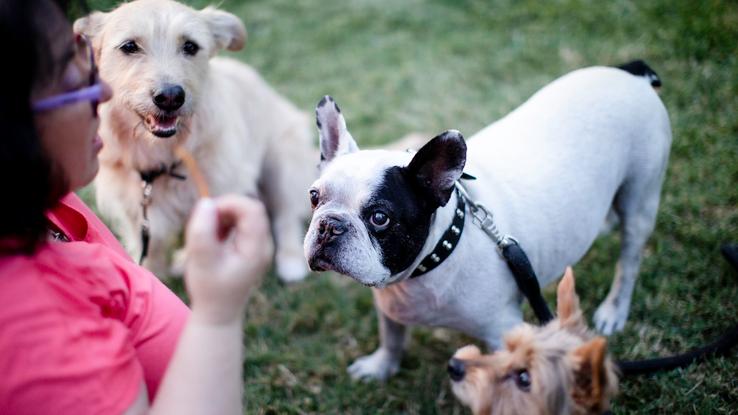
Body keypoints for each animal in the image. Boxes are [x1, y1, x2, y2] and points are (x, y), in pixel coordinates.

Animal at [75, 0, 314, 282]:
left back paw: (291, 261)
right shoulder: (133, 211)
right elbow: (147, 251)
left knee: (285, 214)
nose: (170, 97)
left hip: (282, 162)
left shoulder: (223, 190)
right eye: (129, 46)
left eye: (190, 46)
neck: (160, 154)